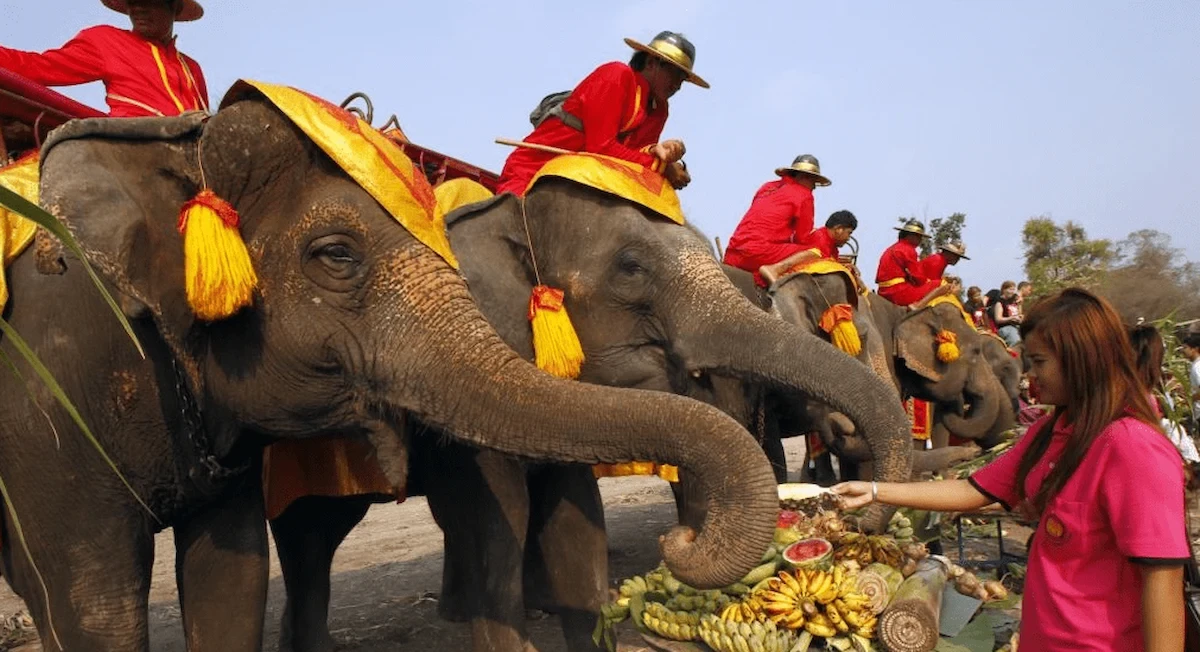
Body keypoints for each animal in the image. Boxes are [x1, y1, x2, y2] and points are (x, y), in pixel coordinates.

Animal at [267, 178, 912, 652]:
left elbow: (574, 515)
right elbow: (498, 515)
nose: (677, 541)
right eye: (631, 268)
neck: (509, 210)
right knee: (312, 536)